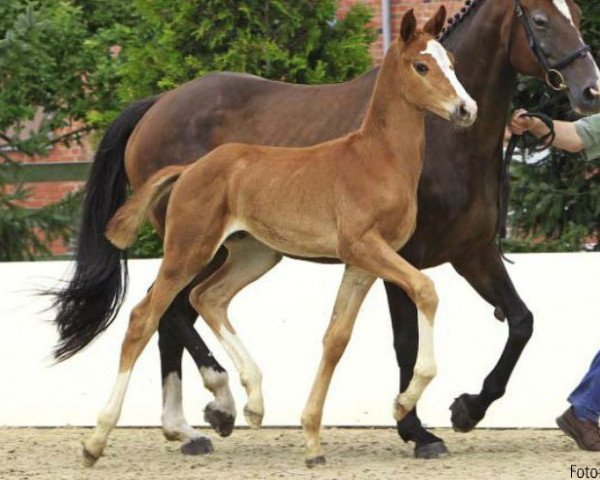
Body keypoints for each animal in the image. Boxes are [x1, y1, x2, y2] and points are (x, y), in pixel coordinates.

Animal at [52, 0, 600, 460]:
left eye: (453, 63)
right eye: (541, 20)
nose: (590, 89)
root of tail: (160, 108)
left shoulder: (461, 253)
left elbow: (518, 321)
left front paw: (464, 409)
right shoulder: (396, 255)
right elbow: (409, 331)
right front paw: (414, 425)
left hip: (247, 253)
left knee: (191, 305)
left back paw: (209, 418)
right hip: (193, 246)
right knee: (153, 313)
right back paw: (155, 424)